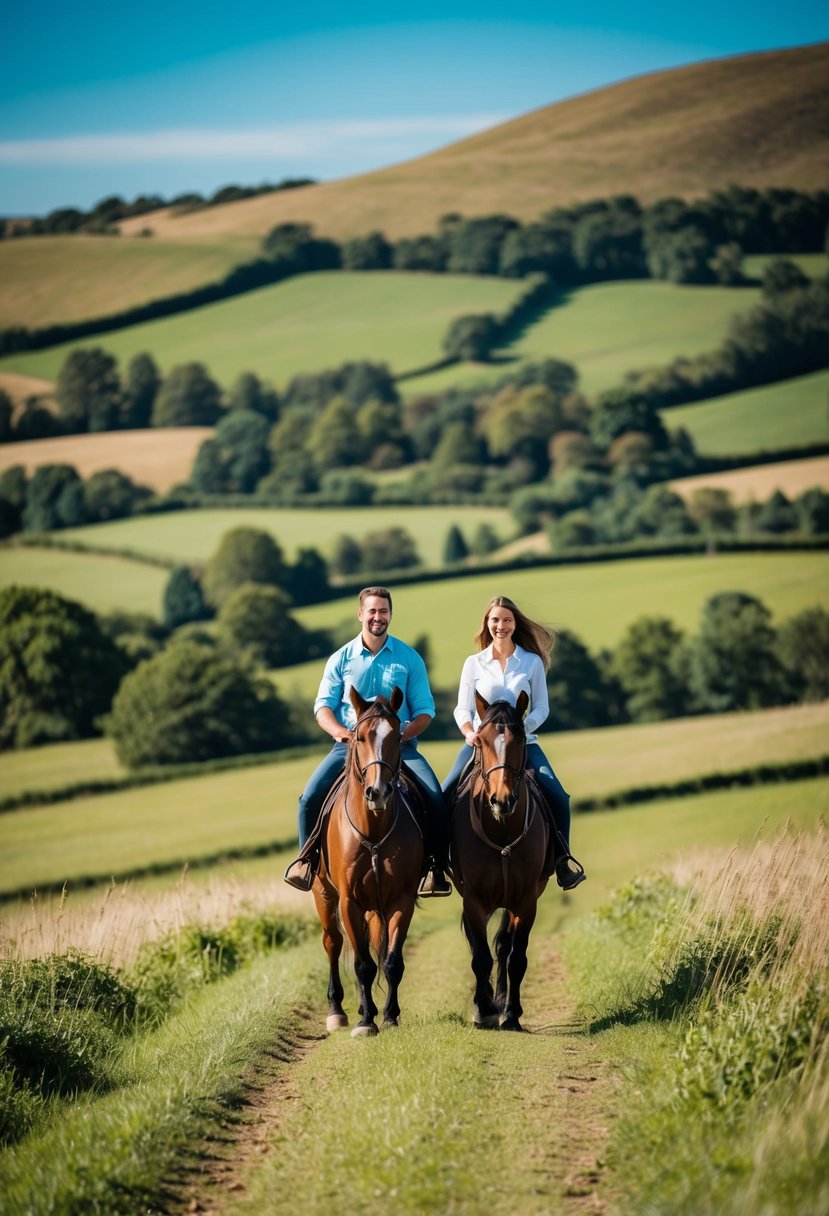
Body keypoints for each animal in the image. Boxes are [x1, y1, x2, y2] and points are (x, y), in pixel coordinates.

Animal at [311, 685, 425, 1036]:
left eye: (398, 736)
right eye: (359, 737)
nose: (378, 792)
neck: (373, 828)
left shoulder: (401, 898)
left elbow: (391, 961)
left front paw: (388, 1015)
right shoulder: (348, 900)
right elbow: (362, 964)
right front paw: (365, 1022)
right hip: (324, 893)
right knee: (332, 942)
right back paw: (337, 1011)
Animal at [449, 695, 544, 1026]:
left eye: (521, 739)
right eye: (481, 741)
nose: (502, 801)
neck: (501, 830)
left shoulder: (526, 901)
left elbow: (516, 957)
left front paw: (511, 1012)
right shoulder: (474, 900)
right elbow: (480, 957)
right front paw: (483, 1009)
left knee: (504, 947)